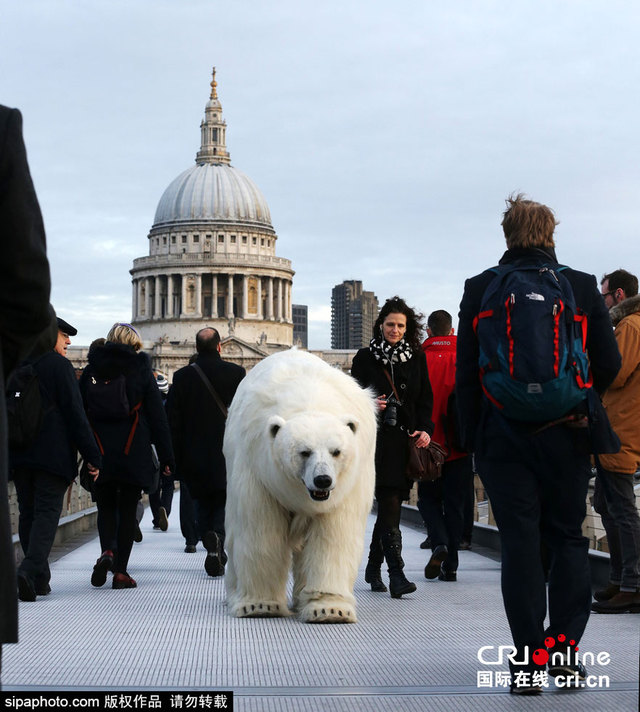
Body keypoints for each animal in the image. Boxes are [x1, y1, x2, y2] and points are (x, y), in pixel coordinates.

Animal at [224, 350, 378, 624]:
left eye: (336, 451)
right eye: (304, 452)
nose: (323, 480)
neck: (311, 399)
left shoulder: (347, 485)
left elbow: (333, 534)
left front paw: (330, 610)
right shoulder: (258, 469)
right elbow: (260, 532)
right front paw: (259, 605)